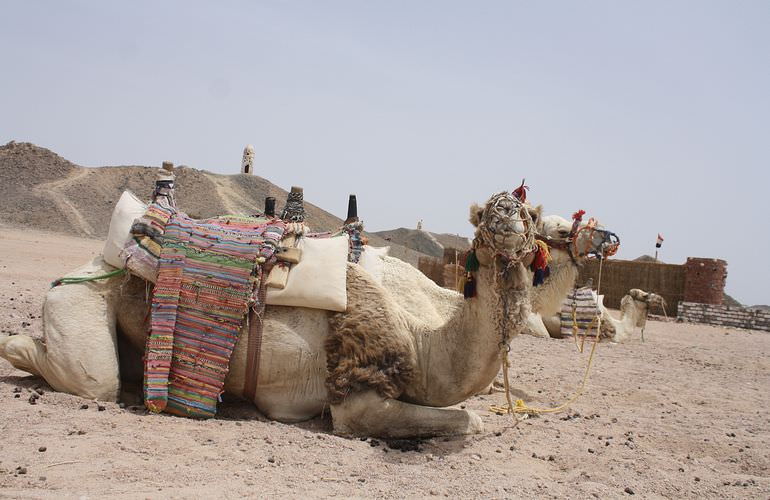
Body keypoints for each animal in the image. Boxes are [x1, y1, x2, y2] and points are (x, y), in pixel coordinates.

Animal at [1, 190, 536, 438]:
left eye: (527, 213)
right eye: (489, 214)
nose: (508, 217)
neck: (422, 341)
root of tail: (94, 260)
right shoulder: (355, 398)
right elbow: (471, 419)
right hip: (80, 300)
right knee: (95, 378)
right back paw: (18, 346)